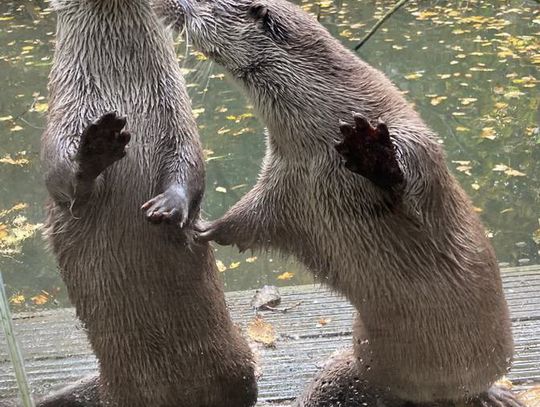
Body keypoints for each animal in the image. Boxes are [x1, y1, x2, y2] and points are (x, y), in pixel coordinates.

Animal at [38, 0, 258, 407]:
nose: (99, 143)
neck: (123, 89)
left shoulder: (177, 112)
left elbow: (191, 164)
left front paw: (168, 207)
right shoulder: (63, 114)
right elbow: (58, 174)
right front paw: (94, 148)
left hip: (240, 366)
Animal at [153, 0, 524, 407]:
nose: (163, 5)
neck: (322, 133)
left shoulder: (412, 136)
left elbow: (411, 171)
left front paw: (370, 151)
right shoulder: (282, 183)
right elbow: (249, 219)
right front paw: (201, 228)